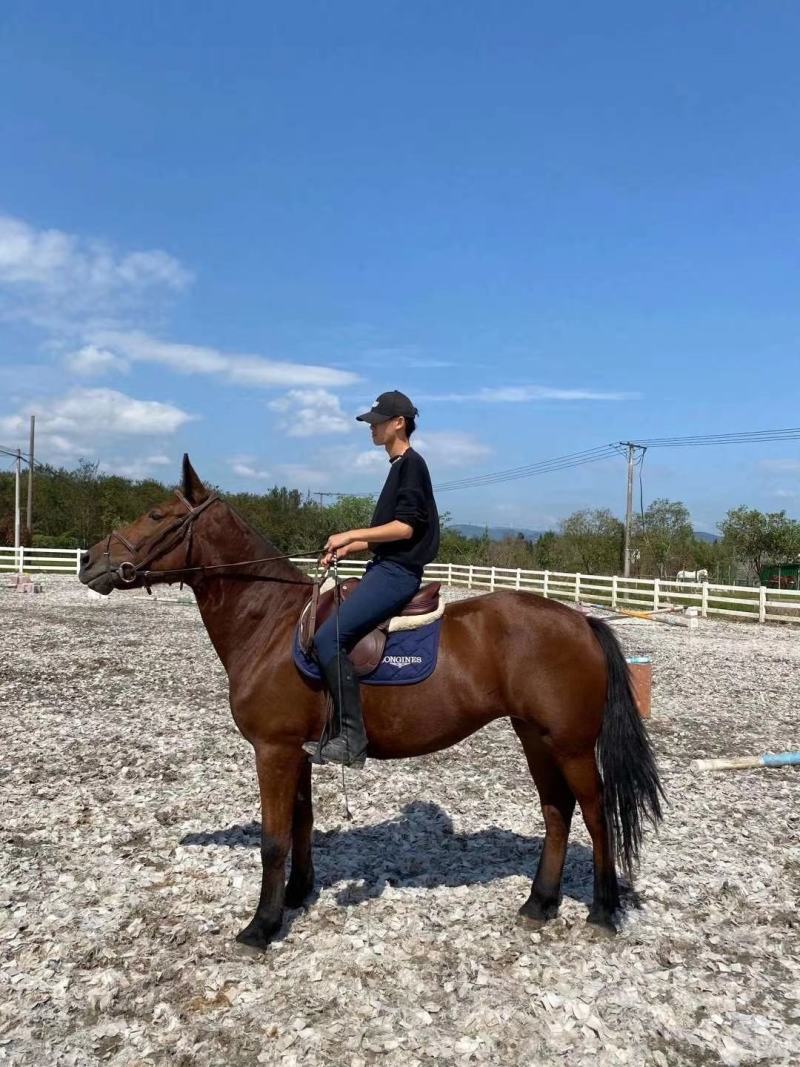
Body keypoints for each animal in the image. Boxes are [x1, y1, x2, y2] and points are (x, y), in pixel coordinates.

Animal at [78, 456, 663, 951]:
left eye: (157, 515)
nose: (88, 562)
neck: (269, 623)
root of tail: (581, 621)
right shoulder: (298, 750)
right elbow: (303, 821)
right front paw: (297, 896)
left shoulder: (273, 749)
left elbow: (273, 839)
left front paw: (261, 927)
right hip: (534, 736)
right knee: (557, 809)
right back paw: (539, 903)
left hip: (570, 743)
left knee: (596, 814)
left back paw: (602, 911)